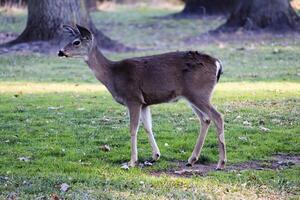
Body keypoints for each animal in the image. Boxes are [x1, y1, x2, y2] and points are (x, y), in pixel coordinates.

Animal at [58, 24, 226, 170]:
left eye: (76, 42)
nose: (60, 51)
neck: (112, 75)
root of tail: (217, 63)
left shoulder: (133, 98)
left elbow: (133, 129)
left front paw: (132, 161)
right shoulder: (145, 103)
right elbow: (147, 127)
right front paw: (155, 155)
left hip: (199, 93)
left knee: (217, 116)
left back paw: (221, 163)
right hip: (191, 96)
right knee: (205, 119)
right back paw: (191, 160)